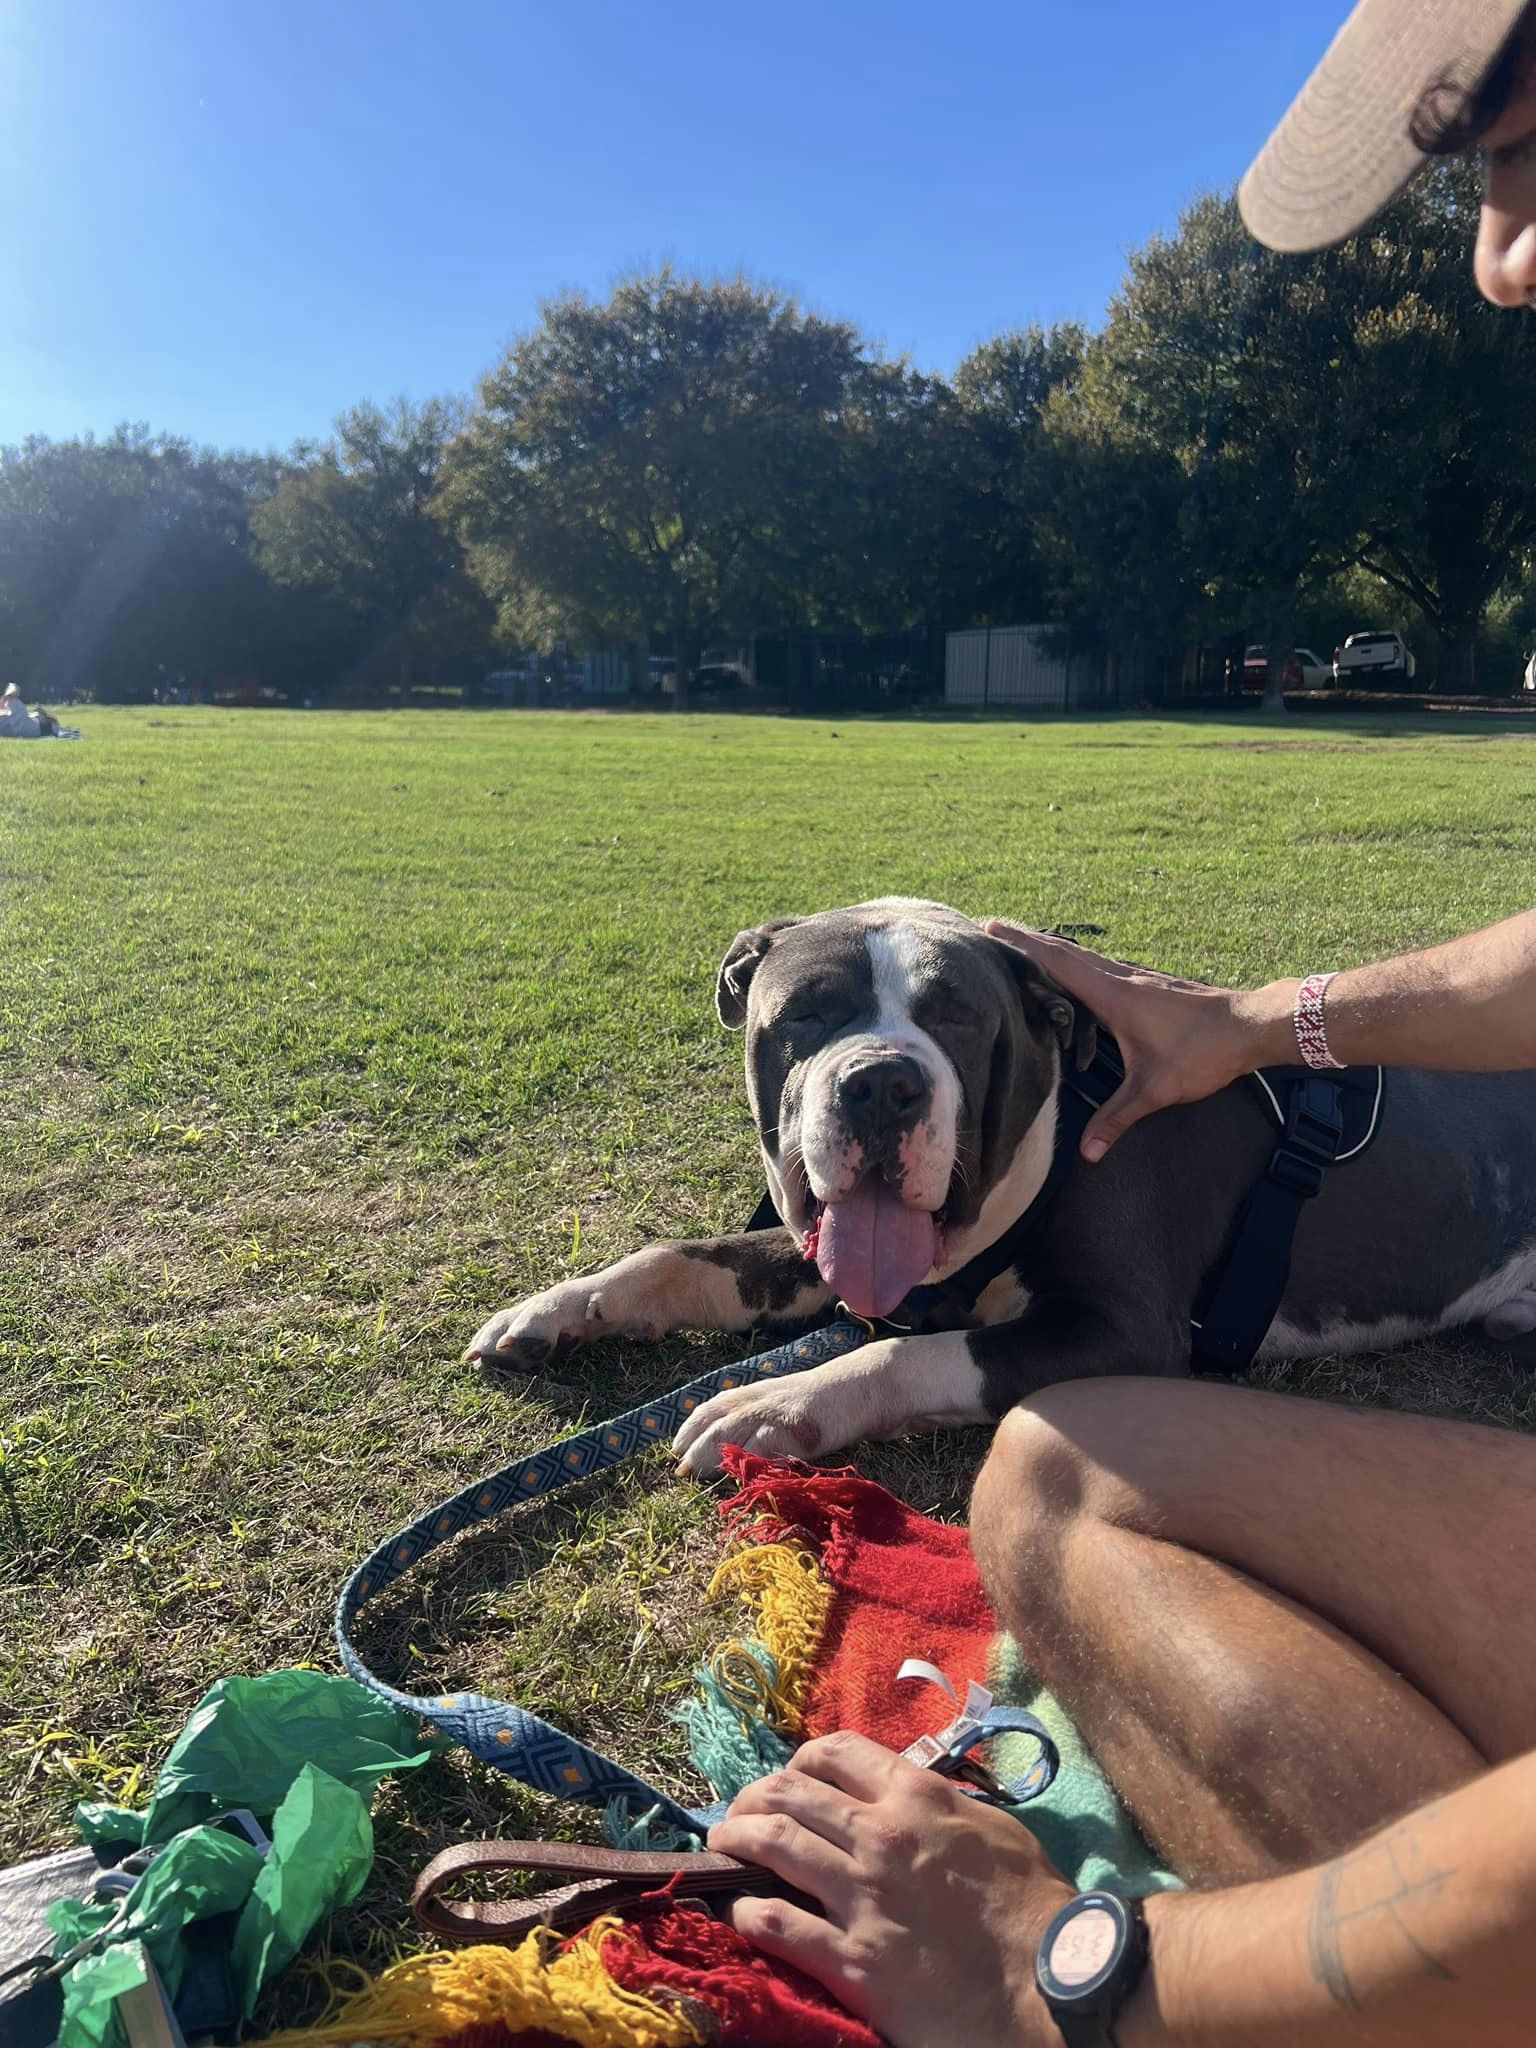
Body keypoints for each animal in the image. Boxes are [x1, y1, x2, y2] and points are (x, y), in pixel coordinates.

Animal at [466, 897, 1536, 1474]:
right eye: (805, 1014)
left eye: (961, 1018)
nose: (882, 1083)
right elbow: (677, 1259)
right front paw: (556, 1310)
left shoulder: (1124, 1333)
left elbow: (908, 1354)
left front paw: (776, 1404)